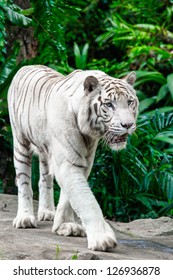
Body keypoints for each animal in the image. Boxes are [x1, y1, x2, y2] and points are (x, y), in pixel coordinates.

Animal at [7, 65, 138, 252]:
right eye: (109, 104)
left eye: (130, 102)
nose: (128, 125)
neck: (89, 132)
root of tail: (25, 66)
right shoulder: (67, 162)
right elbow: (86, 200)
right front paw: (102, 239)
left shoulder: (84, 161)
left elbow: (69, 196)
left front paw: (65, 225)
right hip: (20, 142)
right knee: (24, 182)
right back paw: (25, 219)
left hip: (45, 150)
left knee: (45, 179)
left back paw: (47, 212)